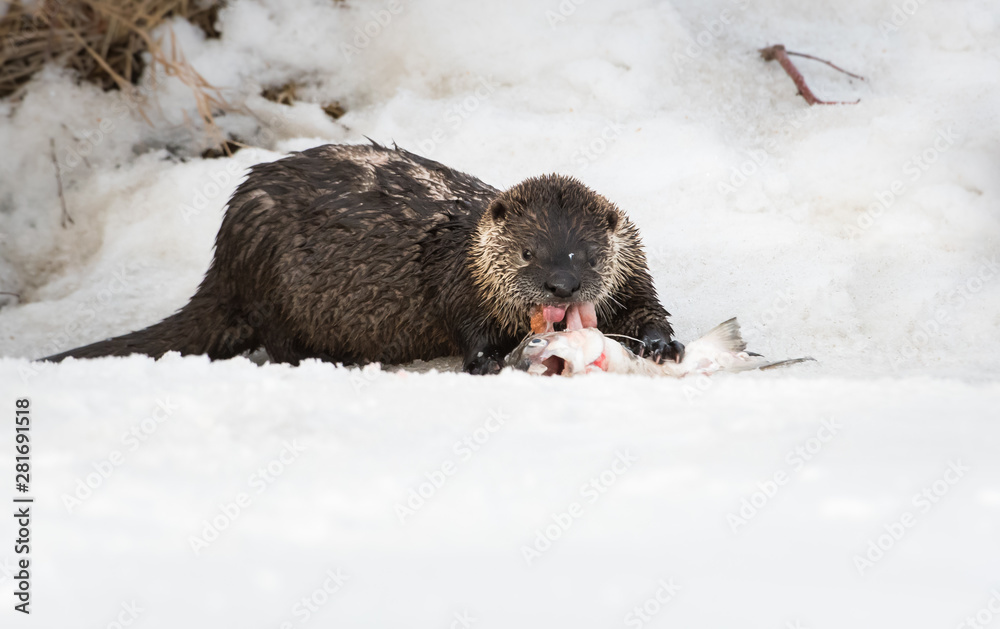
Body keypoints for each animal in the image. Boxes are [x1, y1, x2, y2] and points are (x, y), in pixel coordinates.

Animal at [44, 142, 682, 374]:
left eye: (588, 255)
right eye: (528, 253)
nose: (562, 285)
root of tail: (225, 261)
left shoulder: (633, 267)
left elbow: (646, 306)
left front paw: (661, 343)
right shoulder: (456, 282)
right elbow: (469, 333)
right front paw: (492, 361)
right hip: (272, 284)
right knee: (279, 342)